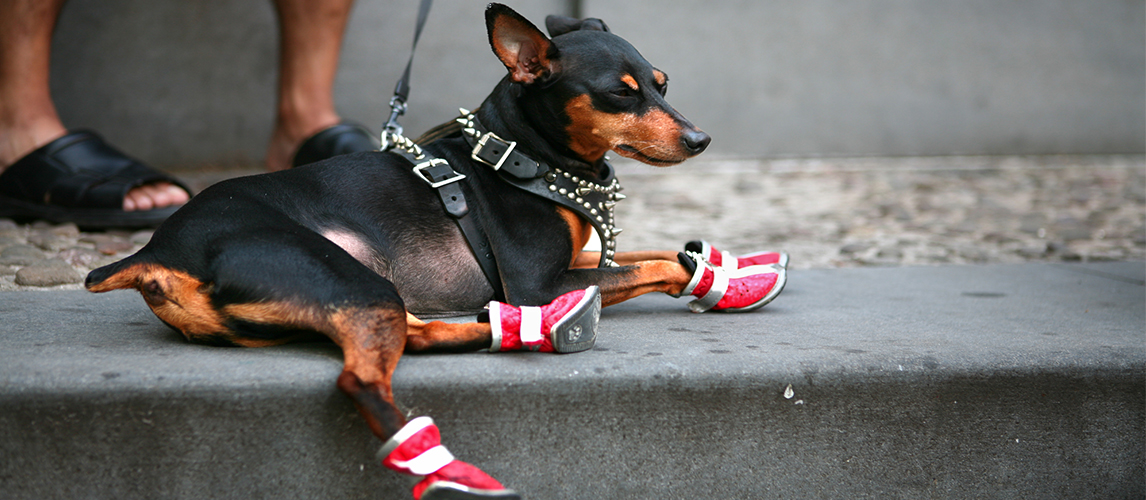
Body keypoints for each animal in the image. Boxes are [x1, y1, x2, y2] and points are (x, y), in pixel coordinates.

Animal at [87, 4, 788, 499]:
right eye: (621, 93)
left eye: (662, 84)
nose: (700, 140)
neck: (525, 155)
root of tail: (157, 253)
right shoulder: (535, 277)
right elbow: (658, 263)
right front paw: (709, 277)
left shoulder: (575, 265)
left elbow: (655, 251)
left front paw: (731, 272)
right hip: (346, 277)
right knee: (364, 378)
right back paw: (452, 460)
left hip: (357, 293)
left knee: (417, 333)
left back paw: (520, 329)